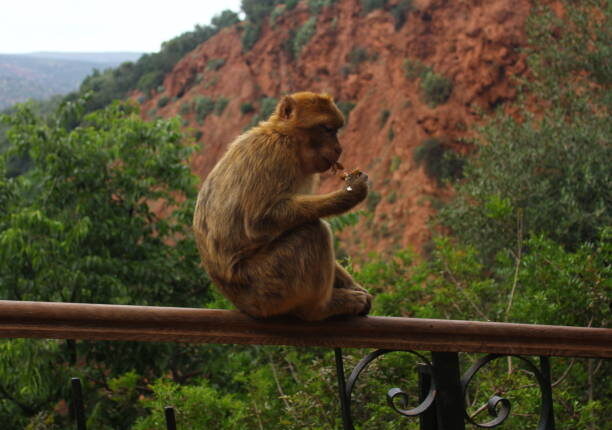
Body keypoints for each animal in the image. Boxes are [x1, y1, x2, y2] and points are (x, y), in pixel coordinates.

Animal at [192, 91, 372, 320]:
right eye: (326, 129)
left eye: (335, 130)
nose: (339, 149)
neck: (287, 137)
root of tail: (241, 303)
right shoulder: (274, 153)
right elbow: (258, 221)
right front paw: (350, 194)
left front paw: (355, 286)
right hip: (267, 286)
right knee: (313, 232)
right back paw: (321, 308)